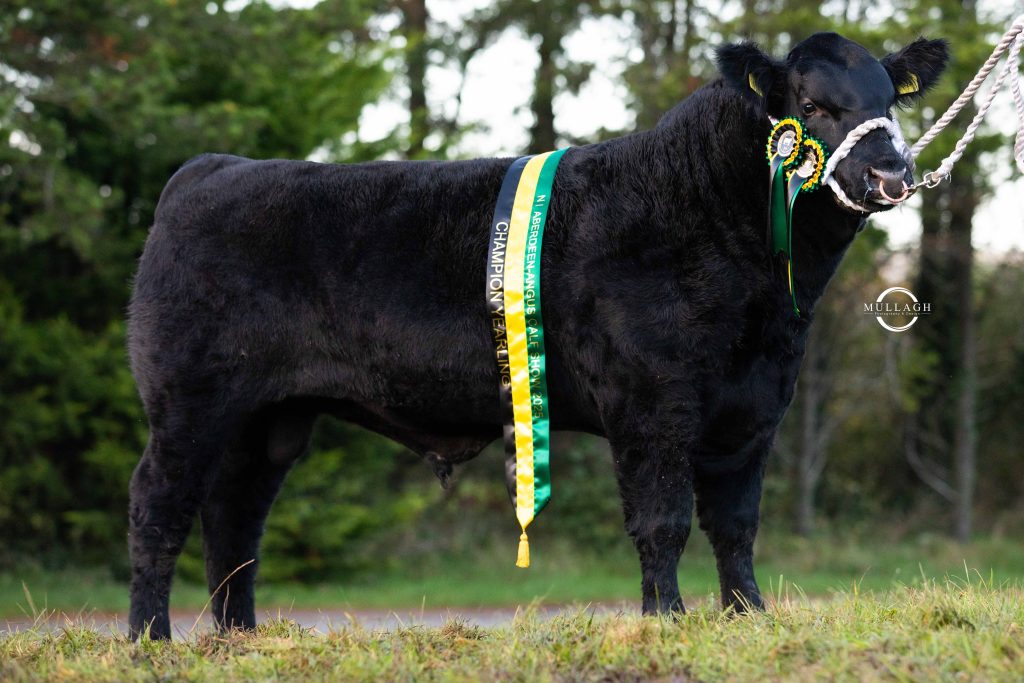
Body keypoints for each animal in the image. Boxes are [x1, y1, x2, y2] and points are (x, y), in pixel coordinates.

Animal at [126, 31, 949, 639]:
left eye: (890, 102)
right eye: (813, 104)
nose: (891, 174)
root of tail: (209, 170)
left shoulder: (754, 405)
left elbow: (737, 523)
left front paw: (748, 617)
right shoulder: (652, 402)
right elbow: (663, 519)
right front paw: (666, 620)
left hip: (270, 418)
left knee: (235, 514)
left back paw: (240, 637)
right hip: (189, 398)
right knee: (159, 501)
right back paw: (149, 637)